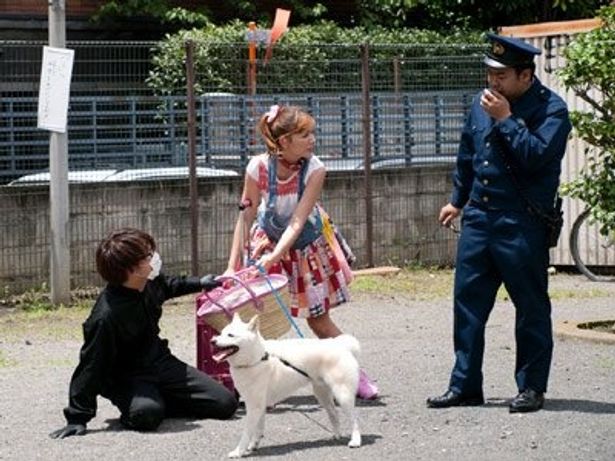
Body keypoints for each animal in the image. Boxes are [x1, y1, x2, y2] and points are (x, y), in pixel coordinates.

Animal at [212, 312, 360, 456]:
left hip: (342, 395)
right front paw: (253, 445)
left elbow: (247, 432)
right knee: (334, 414)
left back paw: (355, 441)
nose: (212, 341)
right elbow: (258, 429)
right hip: (322, 394)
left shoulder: (254, 406)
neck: (258, 358)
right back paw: (336, 435)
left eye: (230, 335)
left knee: (354, 419)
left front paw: (238, 451)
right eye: (221, 333)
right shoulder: (258, 405)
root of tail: (340, 345)